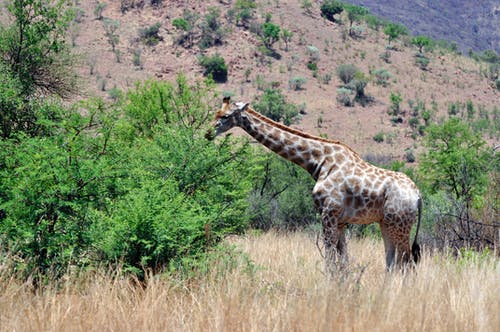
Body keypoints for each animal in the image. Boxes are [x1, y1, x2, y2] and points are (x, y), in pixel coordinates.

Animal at [206, 97, 422, 272]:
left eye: (225, 116)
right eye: (215, 112)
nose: (207, 133)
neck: (318, 161)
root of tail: (418, 195)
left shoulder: (328, 213)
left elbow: (330, 259)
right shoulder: (340, 220)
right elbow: (343, 261)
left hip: (399, 225)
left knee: (407, 263)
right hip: (386, 223)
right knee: (392, 263)